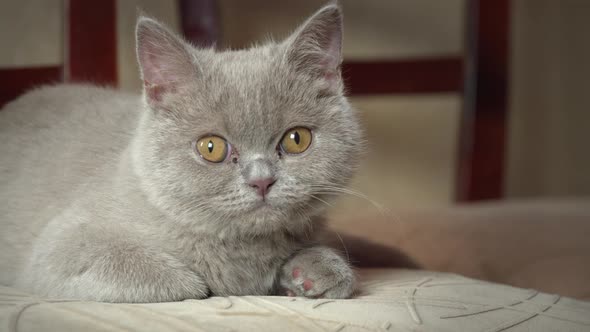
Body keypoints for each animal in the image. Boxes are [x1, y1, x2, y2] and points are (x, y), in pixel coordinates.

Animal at [0, 3, 364, 304]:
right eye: (211, 147)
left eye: (296, 139)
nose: (261, 180)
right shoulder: (62, 247)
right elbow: (164, 277)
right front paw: (197, 282)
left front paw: (317, 270)